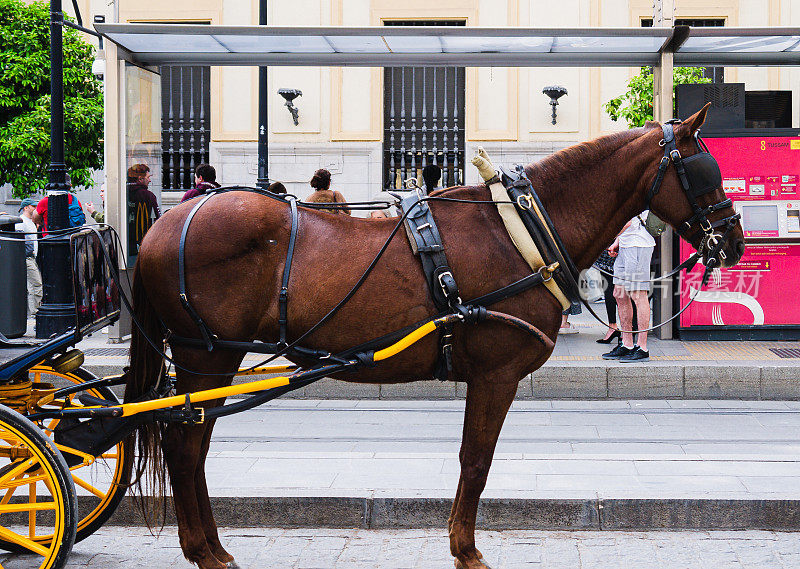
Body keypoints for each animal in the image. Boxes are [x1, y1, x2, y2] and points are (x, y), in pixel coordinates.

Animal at [123, 107, 744, 568]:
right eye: (705, 171)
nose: (734, 241)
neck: (521, 230)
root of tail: (163, 226)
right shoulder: (496, 374)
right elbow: (477, 459)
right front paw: (465, 549)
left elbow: (474, 459)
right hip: (206, 356)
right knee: (185, 444)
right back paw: (203, 550)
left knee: (193, 444)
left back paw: (211, 546)